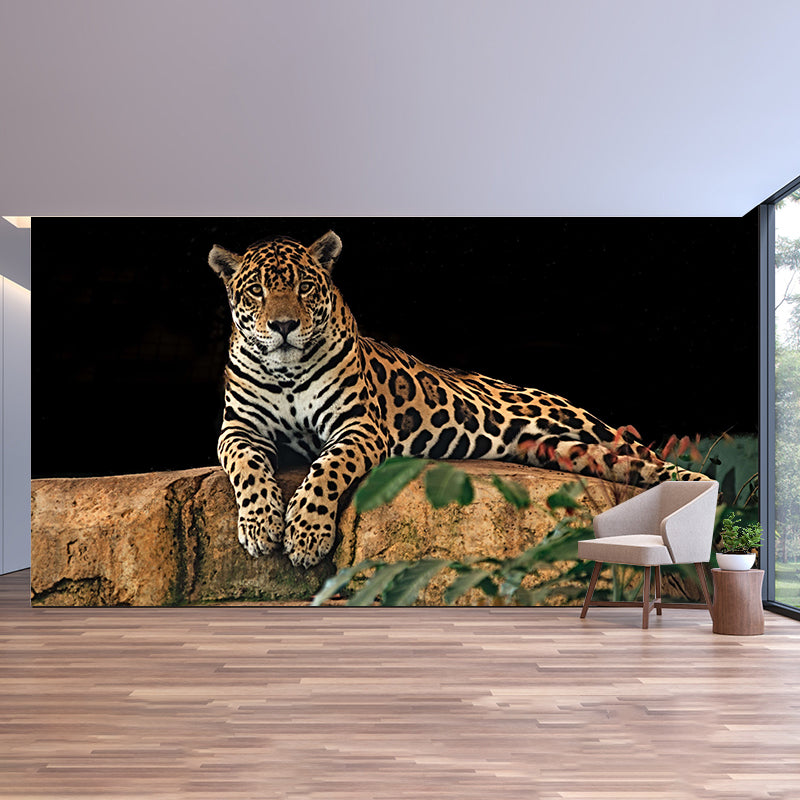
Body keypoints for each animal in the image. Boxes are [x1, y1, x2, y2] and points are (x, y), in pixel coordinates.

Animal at [209, 231, 709, 567]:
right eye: (256, 291)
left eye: (305, 288)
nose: (284, 326)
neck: (286, 371)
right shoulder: (239, 428)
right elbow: (246, 465)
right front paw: (261, 525)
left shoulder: (358, 427)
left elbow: (327, 471)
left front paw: (306, 534)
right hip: (567, 451)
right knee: (635, 468)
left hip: (583, 422)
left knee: (654, 458)